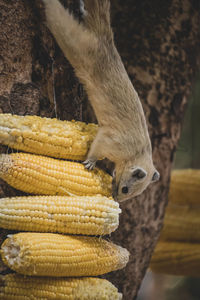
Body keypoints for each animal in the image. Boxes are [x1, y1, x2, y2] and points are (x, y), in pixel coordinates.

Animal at [41, 0, 159, 202]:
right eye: (125, 189)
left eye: (131, 195)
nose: (116, 199)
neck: (136, 153)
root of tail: (106, 41)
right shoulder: (108, 140)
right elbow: (95, 150)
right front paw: (90, 163)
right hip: (74, 43)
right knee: (57, 15)